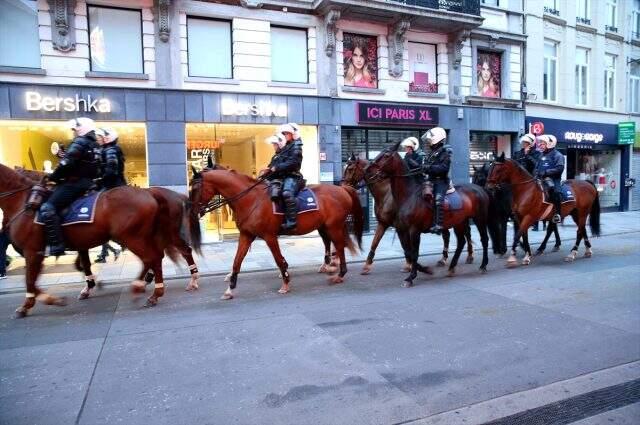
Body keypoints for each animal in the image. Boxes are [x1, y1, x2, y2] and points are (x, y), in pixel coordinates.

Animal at [0, 162, 190, 314]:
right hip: (140, 236)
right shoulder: (55, 249)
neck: (22, 202)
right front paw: (86, 287)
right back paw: (150, 289)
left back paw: (146, 288)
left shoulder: (32, 251)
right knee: (155, 258)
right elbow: (81, 266)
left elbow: (29, 279)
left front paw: (32, 304)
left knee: (153, 257)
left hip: (131, 237)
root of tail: (149, 193)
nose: (3, 228)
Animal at [188, 164, 362, 300]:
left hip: (334, 226)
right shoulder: (246, 235)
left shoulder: (269, 236)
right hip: (325, 226)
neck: (251, 199)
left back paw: (339, 273)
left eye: (195, 188)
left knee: (339, 245)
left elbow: (278, 259)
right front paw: (230, 289)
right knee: (331, 243)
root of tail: (342, 189)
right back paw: (329, 267)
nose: (191, 210)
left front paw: (285, 282)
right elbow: (237, 261)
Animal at [342, 154, 472, 274]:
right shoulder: (383, 223)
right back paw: (444, 259)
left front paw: (410, 265)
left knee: (465, 234)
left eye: (350, 169)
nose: (343, 186)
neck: (386, 194)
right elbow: (375, 243)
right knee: (448, 235)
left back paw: (468, 256)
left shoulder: (401, 227)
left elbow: (406, 246)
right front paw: (367, 265)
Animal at [364, 141, 490, 286]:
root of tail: (480, 189)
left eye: (386, 155)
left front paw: (411, 277)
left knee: (484, 239)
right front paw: (424, 270)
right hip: (460, 222)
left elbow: (414, 252)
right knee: (461, 242)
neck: (409, 195)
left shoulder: (414, 230)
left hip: (479, 219)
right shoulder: (402, 229)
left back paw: (483, 265)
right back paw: (452, 268)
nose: (368, 169)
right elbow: (408, 251)